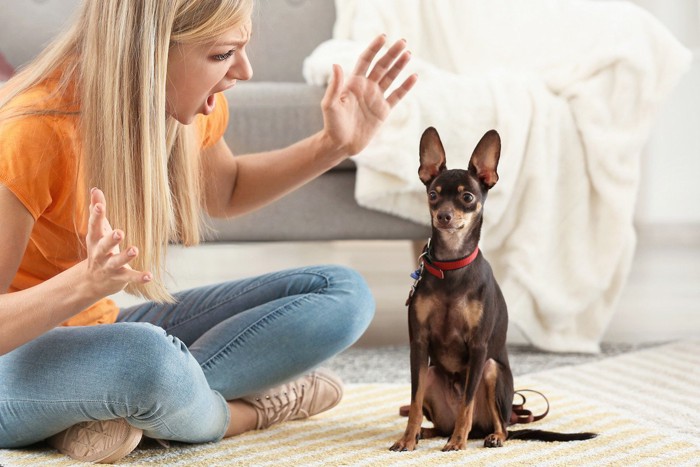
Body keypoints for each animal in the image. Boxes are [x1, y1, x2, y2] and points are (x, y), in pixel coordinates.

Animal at [388, 129, 596, 454]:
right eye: (433, 195)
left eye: (467, 197)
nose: (444, 215)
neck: (452, 265)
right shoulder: (419, 345)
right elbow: (415, 401)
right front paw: (407, 439)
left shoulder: (478, 348)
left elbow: (467, 404)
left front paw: (457, 443)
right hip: (434, 374)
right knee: (436, 421)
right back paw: (426, 432)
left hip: (490, 370)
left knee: (502, 425)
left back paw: (487, 436)